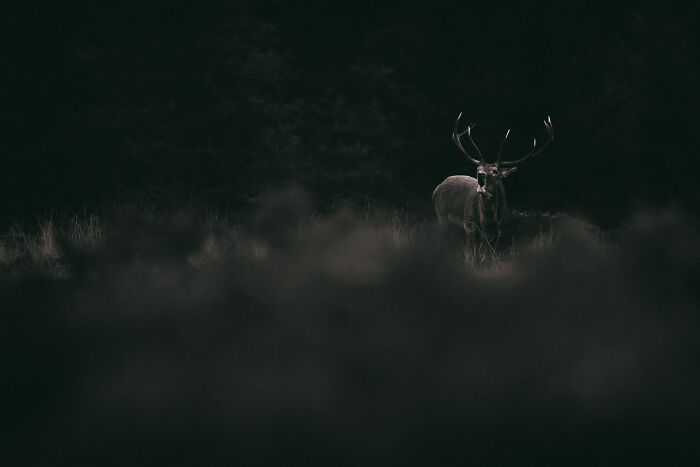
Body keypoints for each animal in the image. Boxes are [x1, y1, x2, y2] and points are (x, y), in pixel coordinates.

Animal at [433, 113, 554, 254]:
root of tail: (436, 190)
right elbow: (471, 253)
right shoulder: (469, 225)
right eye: (477, 168)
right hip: (441, 218)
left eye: (495, 171)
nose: (480, 174)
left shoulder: (500, 230)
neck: (489, 222)